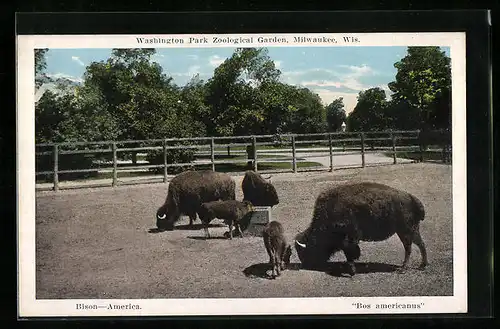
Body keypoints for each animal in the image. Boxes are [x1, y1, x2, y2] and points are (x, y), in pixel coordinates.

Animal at [292, 181, 430, 276]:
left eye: (305, 250)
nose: (306, 265)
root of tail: (411, 197)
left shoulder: (350, 237)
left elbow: (349, 250)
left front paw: (352, 271)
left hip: (405, 231)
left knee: (410, 248)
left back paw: (403, 269)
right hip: (410, 231)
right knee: (420, 244)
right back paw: (422, 265)